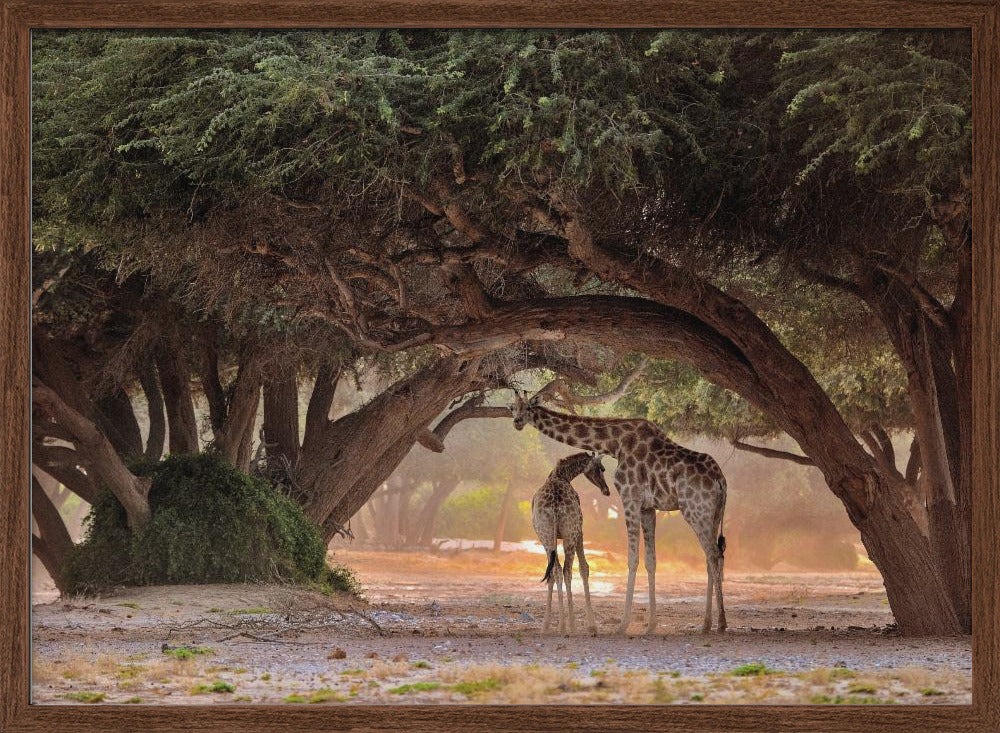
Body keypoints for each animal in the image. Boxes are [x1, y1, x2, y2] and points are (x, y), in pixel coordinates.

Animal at [531, 451, 610, 635]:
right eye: (602, 468)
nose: (606, 490)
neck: (562, 475)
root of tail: (554, 505)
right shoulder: (580, 531)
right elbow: (584, 568)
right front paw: (591, 625)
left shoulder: (550, 538)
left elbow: (552, 574)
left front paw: (547, 625)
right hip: (570, 534)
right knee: (567, 570)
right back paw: (571, 625)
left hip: (546, 536)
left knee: (555, 571)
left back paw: (559, 625)